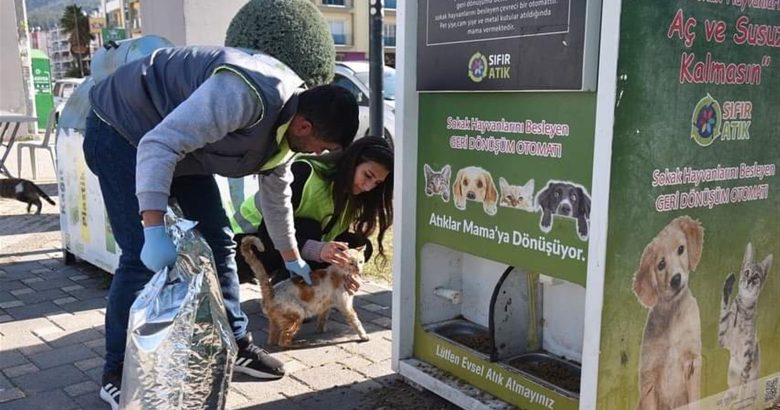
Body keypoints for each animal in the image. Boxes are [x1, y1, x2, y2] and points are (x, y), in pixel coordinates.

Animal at [239, 235, 370, 348]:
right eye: (351, 263)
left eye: (361, 262)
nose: (359, 270)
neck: (340, 272)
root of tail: (271, 292)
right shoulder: (346, 306)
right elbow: (356, 321)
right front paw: (364, 336)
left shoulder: (326, 306)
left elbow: (323, 318)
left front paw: (321, 331)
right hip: (297, 315)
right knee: (283, 340)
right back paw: (297, 343)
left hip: (276, 322)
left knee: (272, 339)